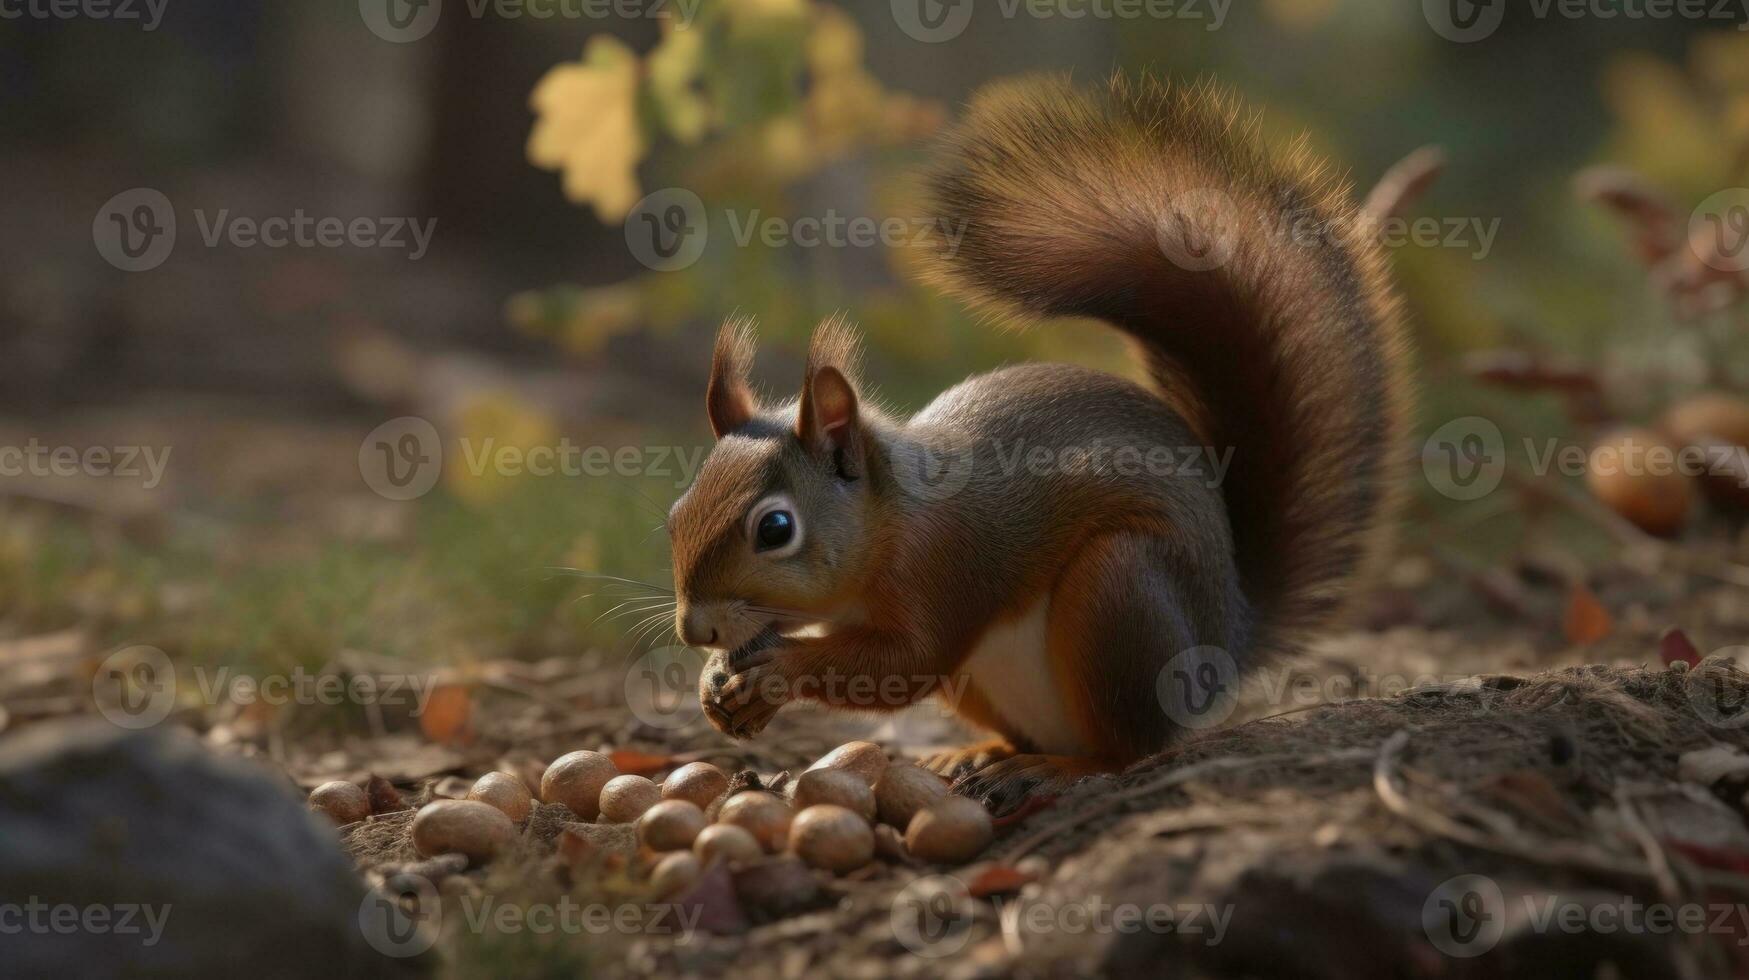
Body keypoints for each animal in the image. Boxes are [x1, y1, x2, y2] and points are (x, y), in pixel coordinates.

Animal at [661, 74, 1413, 812]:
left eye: (775, 529)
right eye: (674, 516)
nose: (694, 631)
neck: (893, 521)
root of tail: (1223, 643)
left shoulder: (952, 563)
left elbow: (905, 664)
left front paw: (777, 672)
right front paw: (713, 682)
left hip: (1120, 592)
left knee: (1130, 747)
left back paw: (1058, 771)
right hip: (987, 679)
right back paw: (978, 755)